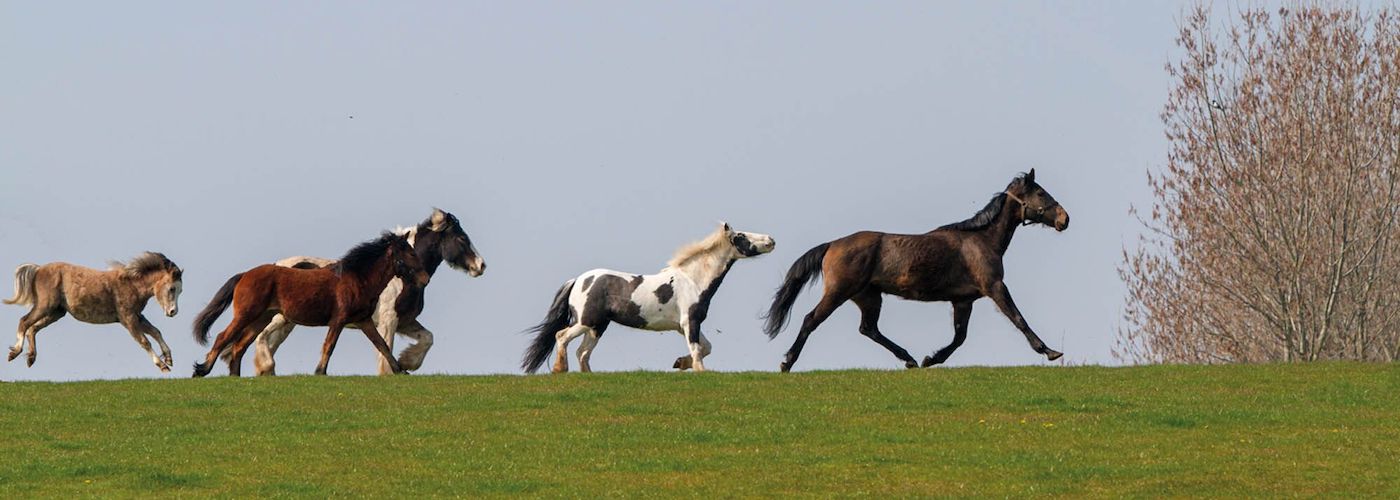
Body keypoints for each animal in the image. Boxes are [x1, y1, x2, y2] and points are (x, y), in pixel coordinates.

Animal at [3, 253, 186, 369]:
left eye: (180, 290)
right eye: (171, 288)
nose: (173, 312)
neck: (132, 284)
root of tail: (38, 269)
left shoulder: (137, 317)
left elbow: (156, 332)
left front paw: (168, 358)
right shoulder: (128, 319)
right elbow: (145, 341)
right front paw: (162, 365)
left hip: (56, 313)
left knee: (32, 329)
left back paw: (31, 358)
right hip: (44, 306)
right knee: (24, 322)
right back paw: (15, 353)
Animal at [191, 231, 428, 375]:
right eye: (408, 253)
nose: (424, 279)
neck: (358, 279)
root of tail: (244, 275)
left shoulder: (364, 321)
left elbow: (382, 345)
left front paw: (400, 370)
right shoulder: (338, 319)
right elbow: (329, 345)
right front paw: (320, 371)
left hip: (261, 318)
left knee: (239, 345)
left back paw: (234, 376)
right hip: (247, 314)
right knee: (224, 337)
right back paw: (201, 370)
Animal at [215, 207, 484, 375]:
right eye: (461, 238)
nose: (481, 266)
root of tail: (274, 265)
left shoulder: (406, 321)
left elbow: (427, 338)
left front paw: (408, 362)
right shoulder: (389, 320)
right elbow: (385, 347)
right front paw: (393, 370)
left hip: (286, 321)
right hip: (277, 317)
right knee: (259, 337)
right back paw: (265, 367)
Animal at [523, 219, 772, 372]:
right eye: (741, 235)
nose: (771, 240)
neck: (692, 281)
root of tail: (578, 280)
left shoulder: (684, 326)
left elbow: (706, 347)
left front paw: (680, 363)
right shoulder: (689, 322)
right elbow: (698, 351)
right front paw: (698, 370)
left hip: (597, 326)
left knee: (582, 353)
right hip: (586, 321)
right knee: (562, 337)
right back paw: (559, 369)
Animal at [761, 170, 1064, 369]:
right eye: (1040, 192)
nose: (1065, 218)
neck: (981, 240)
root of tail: (832, 245)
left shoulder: (963, 300)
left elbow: (960, 337)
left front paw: (931, 359)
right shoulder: (995, 287)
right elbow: (1018, 318)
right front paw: (1049, 351)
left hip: (868, 297)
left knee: (868, 329)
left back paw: (909, 359)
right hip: (838, 292)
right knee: (811, 320)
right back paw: (787, 362)